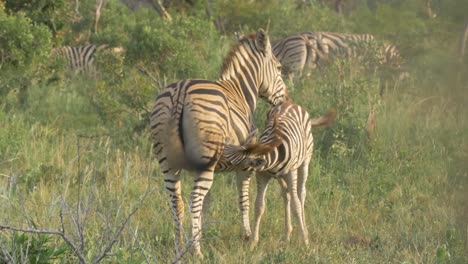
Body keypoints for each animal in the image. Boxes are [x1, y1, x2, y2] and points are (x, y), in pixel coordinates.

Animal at [150, 28, 288, 258]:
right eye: (278, 68)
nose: (285, 99)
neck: (240, 91)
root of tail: (180, 91)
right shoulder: (246, 163)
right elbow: (243, 199)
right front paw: (246, 236)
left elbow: (207, 205)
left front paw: (201, 234)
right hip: (206, 159)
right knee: (194, 199)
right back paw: (196, 252)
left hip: (168, 163)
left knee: (177, 202)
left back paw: (180, 247)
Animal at [221, 100, 334, 249]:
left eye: (227, 160)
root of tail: (290, 103)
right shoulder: (262, 175)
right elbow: (259, 206)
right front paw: (253, 242)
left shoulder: (291, 173)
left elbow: (296, 206)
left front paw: (305, 242)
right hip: (281, 176)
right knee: (286, 194)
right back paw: (287, 234)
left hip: (305, 161)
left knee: (301, 193)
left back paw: (304, 230)